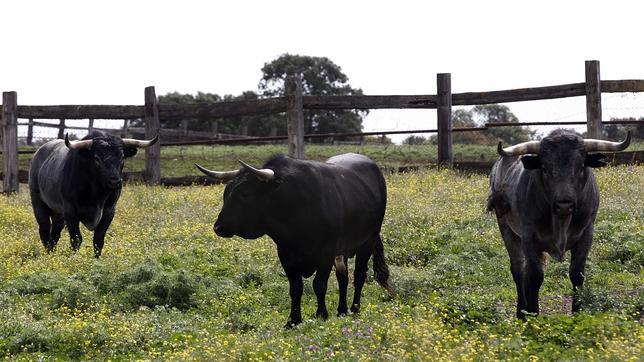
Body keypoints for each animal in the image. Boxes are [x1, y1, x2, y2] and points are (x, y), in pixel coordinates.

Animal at [28, 130, 157, 258]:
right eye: (97, 158)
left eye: (122, 157)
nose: (115, 181)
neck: (97, 195)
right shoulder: (70, 210)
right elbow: (76, 239)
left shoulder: (109, 211)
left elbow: (98, 239)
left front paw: (97, 259)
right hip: (38, 203)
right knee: (44, 229)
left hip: (58, 213)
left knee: (55, 233)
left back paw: (51, 252)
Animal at [196, 153, 390, 328]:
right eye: (226, 193)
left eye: (245, 193)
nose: (218, 227)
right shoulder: (286, 255)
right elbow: (295, 288)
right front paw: (293, 320)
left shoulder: (326, 253)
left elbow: (319, 285)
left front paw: (321, 314)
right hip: (342, 252)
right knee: (343, 276)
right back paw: (342, 310)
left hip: (368, 242)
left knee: (359, 275)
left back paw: (355, 308)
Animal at [488, 131, 628, 320]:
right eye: (544, 168)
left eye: (581, 166)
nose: (564, 204)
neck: (561, 220)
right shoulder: (529, 237)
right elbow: (535, 276)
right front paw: (533, 313)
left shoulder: (587, 233)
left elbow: (577, 274)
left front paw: (577, 311)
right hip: (507, 229)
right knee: (519, 270)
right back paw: (522, 312)